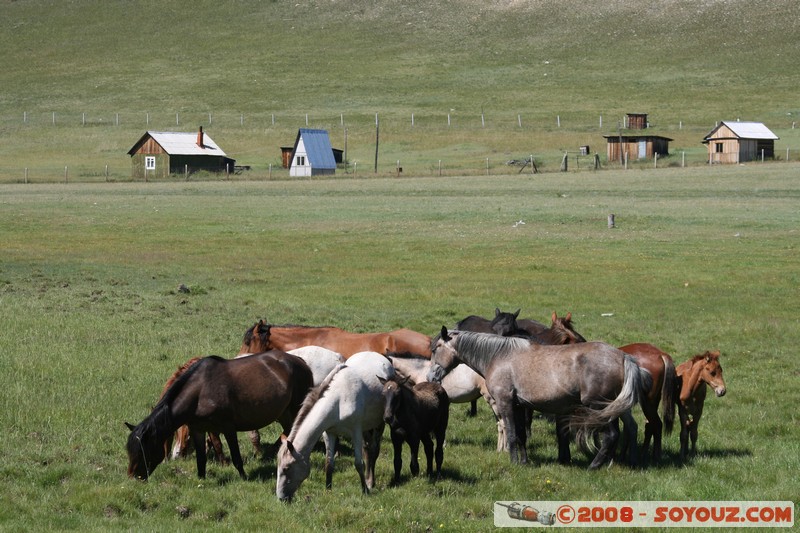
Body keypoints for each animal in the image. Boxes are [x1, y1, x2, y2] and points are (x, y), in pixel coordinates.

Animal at [125, 352, 312, 480]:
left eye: (143, 450)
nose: (133, 477)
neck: (200, 391)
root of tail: (302, 362)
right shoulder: (198, 429)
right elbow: (201, 458)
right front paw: (201, 479)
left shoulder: (228, 428)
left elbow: (235, 456)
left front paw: (244, 477)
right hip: (284, 413)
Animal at [276, 352, 396, 500]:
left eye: (287, 468)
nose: (281, 497)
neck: (339, 400)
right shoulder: (329, 433)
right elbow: (329, 464)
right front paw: (328, 490)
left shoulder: (356, 432)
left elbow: (358, 463)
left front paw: (365, 490)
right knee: (368, 449)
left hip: (378, 424)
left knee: (374, 450)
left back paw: (370, 482)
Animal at [424, 326, 648, 468]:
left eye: (435, 349)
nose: (430, 377)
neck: (499, 356)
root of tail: (623, 357)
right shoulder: (520, 406)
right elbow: (521, 435)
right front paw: (524, 462)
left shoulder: (505, 403)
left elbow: (511, 434)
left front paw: (514, 463)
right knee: (628, 429)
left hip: (599, 407)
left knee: (611, 435)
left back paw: (594, 465)